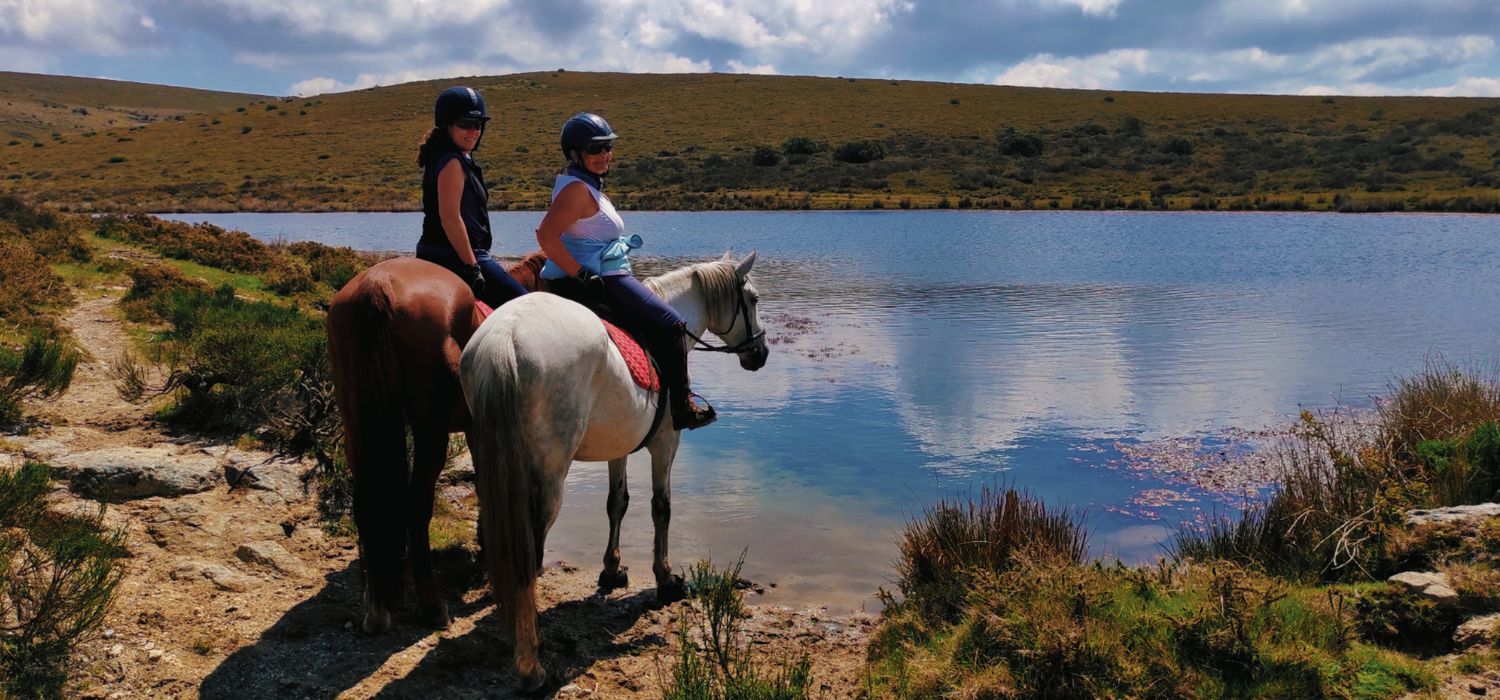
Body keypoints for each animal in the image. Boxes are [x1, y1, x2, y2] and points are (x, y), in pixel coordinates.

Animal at [325, 253, 549, 635]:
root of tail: (376, 285)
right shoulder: (482, 431)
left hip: (357, 422)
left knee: (366, 500)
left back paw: (376, 603)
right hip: (431, 431)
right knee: (417, 504)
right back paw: (431, 606)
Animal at [459, 250, 768, 689]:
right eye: (754, 299)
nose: (760, 354)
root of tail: (506, 338)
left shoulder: (618, 446)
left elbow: (616, 503)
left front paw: (611, 570)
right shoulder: (666, 442)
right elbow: (661, 507)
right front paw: (665, 579)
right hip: (546, 479)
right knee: (528, 554)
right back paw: (531, 664)